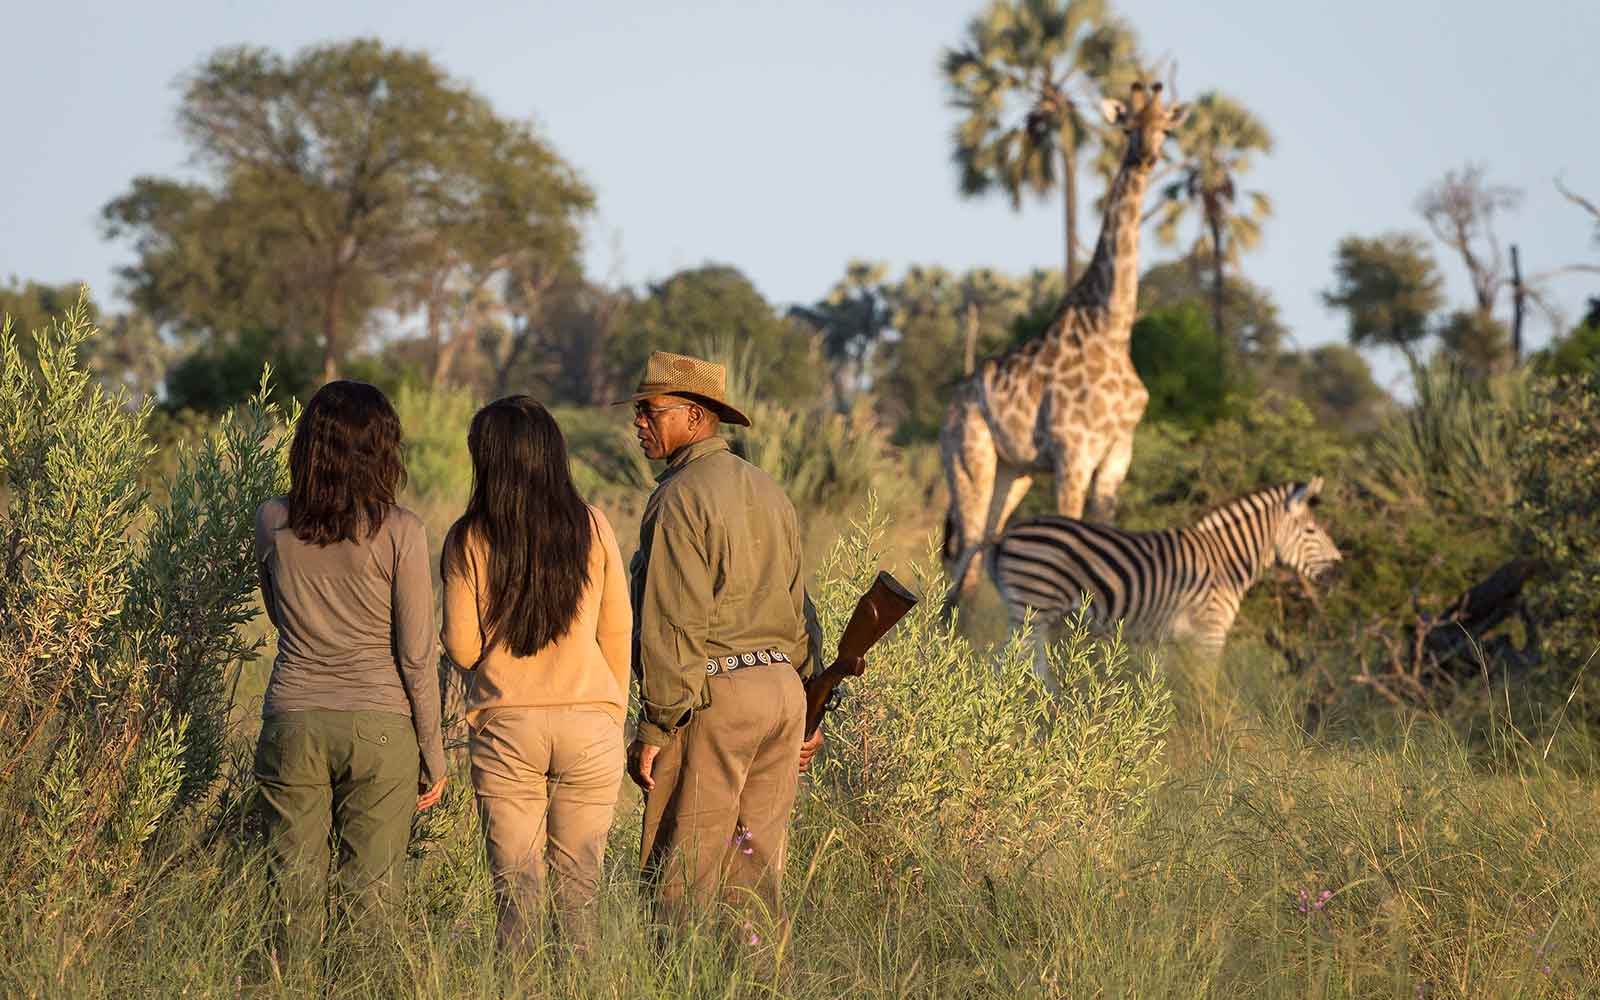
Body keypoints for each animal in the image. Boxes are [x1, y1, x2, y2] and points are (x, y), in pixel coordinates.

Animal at [940, 82, 1187, 615]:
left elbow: (1107, 536)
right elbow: (1074, 538)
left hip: (1014, 471)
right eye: (1128, 124)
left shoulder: (1116, 455)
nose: (1147, 156)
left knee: (977, 551)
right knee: (965, 550)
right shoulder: (1074, 453)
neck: (1112, 330)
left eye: (1166, 127)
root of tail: (949, 409)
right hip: (969, 459)